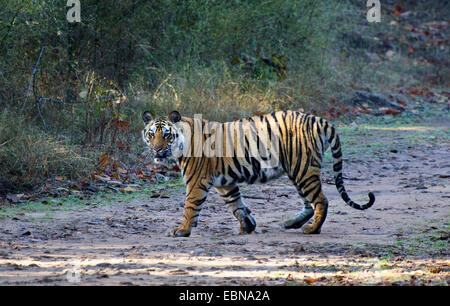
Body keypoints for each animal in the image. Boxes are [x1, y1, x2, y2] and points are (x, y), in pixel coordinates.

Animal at [142, 109, 374, 237]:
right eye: (152, 134)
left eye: (166, 135)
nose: (157, 150)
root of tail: (318, 119)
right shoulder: (224, 183)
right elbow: (236, 205)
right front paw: (247, 226)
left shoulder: (196, 181)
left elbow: (190, 207)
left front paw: (181, 230)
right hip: (298, 171)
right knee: (309, 203)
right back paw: (291, 223)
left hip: (303, 169)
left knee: (321, 201)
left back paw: (312, 229)